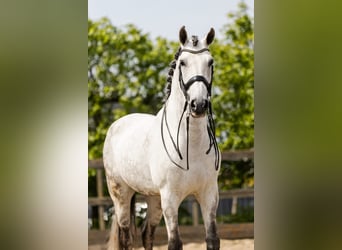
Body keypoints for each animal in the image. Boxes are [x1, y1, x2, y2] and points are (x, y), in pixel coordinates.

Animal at [103, 26, 222, 249]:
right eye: (183, 62)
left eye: (210, 62)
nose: (199, 105)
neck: (190, 145)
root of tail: (116, 125)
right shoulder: (170, 198)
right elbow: (175, 242)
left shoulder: (209, 194)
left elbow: (212, 239)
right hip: (121, 194)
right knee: (126, 237)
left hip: (153, 198)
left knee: (146, 234)